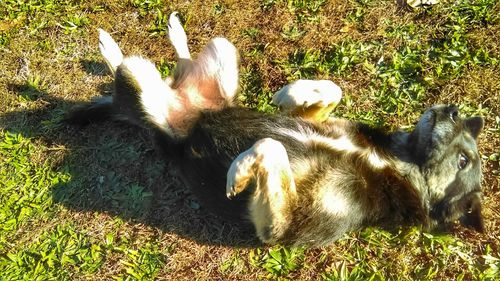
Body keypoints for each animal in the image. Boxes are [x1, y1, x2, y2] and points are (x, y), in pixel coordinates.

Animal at [66, 13, 484, 245]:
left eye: (465, 159)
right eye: (463, 130)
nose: (452, 109)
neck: (386, 164)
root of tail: (177, 107)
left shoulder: (277, 227)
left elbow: (271, 146)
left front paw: (239, 170)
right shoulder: (323, 121)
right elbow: (332, 90)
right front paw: (292, 91)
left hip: (144, 92)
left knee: (128, 78)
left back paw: (111, 49)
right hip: (223, 49)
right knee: (174, 65)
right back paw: (171, 35)